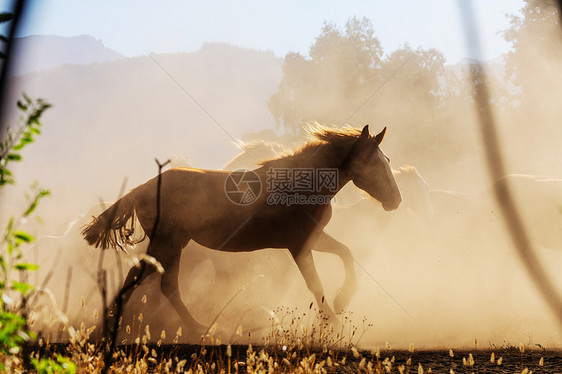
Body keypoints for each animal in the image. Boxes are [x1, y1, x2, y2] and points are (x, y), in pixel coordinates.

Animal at [82, 125, 398, 336]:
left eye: (387, 161)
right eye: (371, 163)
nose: (396, 200)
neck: (302, 184)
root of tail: (144, 187)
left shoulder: (313, 238)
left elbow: (346, 253)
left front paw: (342, 301)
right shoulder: (298, 245)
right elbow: (315, 284)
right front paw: (333, 320)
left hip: (169, 245)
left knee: (139, 278)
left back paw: (112, 323)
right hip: (168, 244)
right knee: (165, 285)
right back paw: (199, 328)